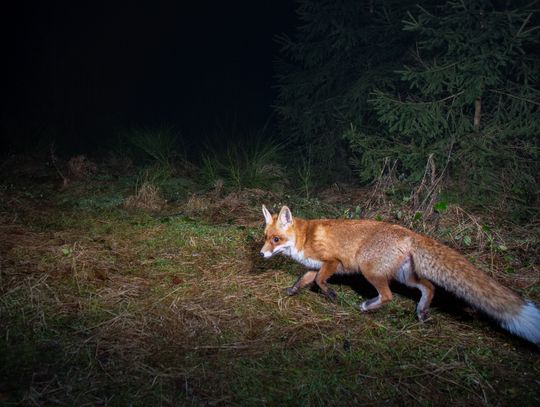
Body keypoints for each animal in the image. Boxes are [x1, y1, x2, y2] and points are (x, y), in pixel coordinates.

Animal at [260, 207, 540, 344]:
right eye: (264, 238)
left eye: (276, 240)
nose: (261, 254)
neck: (304, 238)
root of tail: (409, 232)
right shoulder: (315, 265)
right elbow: (304, 280)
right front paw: (292, 291)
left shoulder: (332, 262)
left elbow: (319, 281)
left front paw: (331, 294)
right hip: (406, 276)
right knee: (429, 287)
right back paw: (422, 312)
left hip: (370, 270)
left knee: (388, 296)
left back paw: (368, 306)